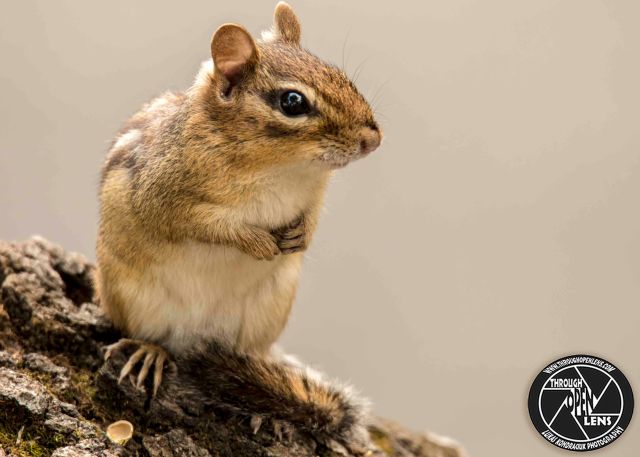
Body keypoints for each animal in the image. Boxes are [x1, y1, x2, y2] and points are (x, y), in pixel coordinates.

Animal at [96, 2, 381, 453]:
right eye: (293, 101)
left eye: (339, 74)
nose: (374, 138)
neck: (281, 169)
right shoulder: (163, 196)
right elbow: (207, 223)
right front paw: (256, 241)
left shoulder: (313, 198)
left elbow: (311, 221)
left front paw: (298, 237)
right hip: (132, 300)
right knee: (154, 337)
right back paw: (150, 352)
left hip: (265, 316)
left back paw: (265, 407)